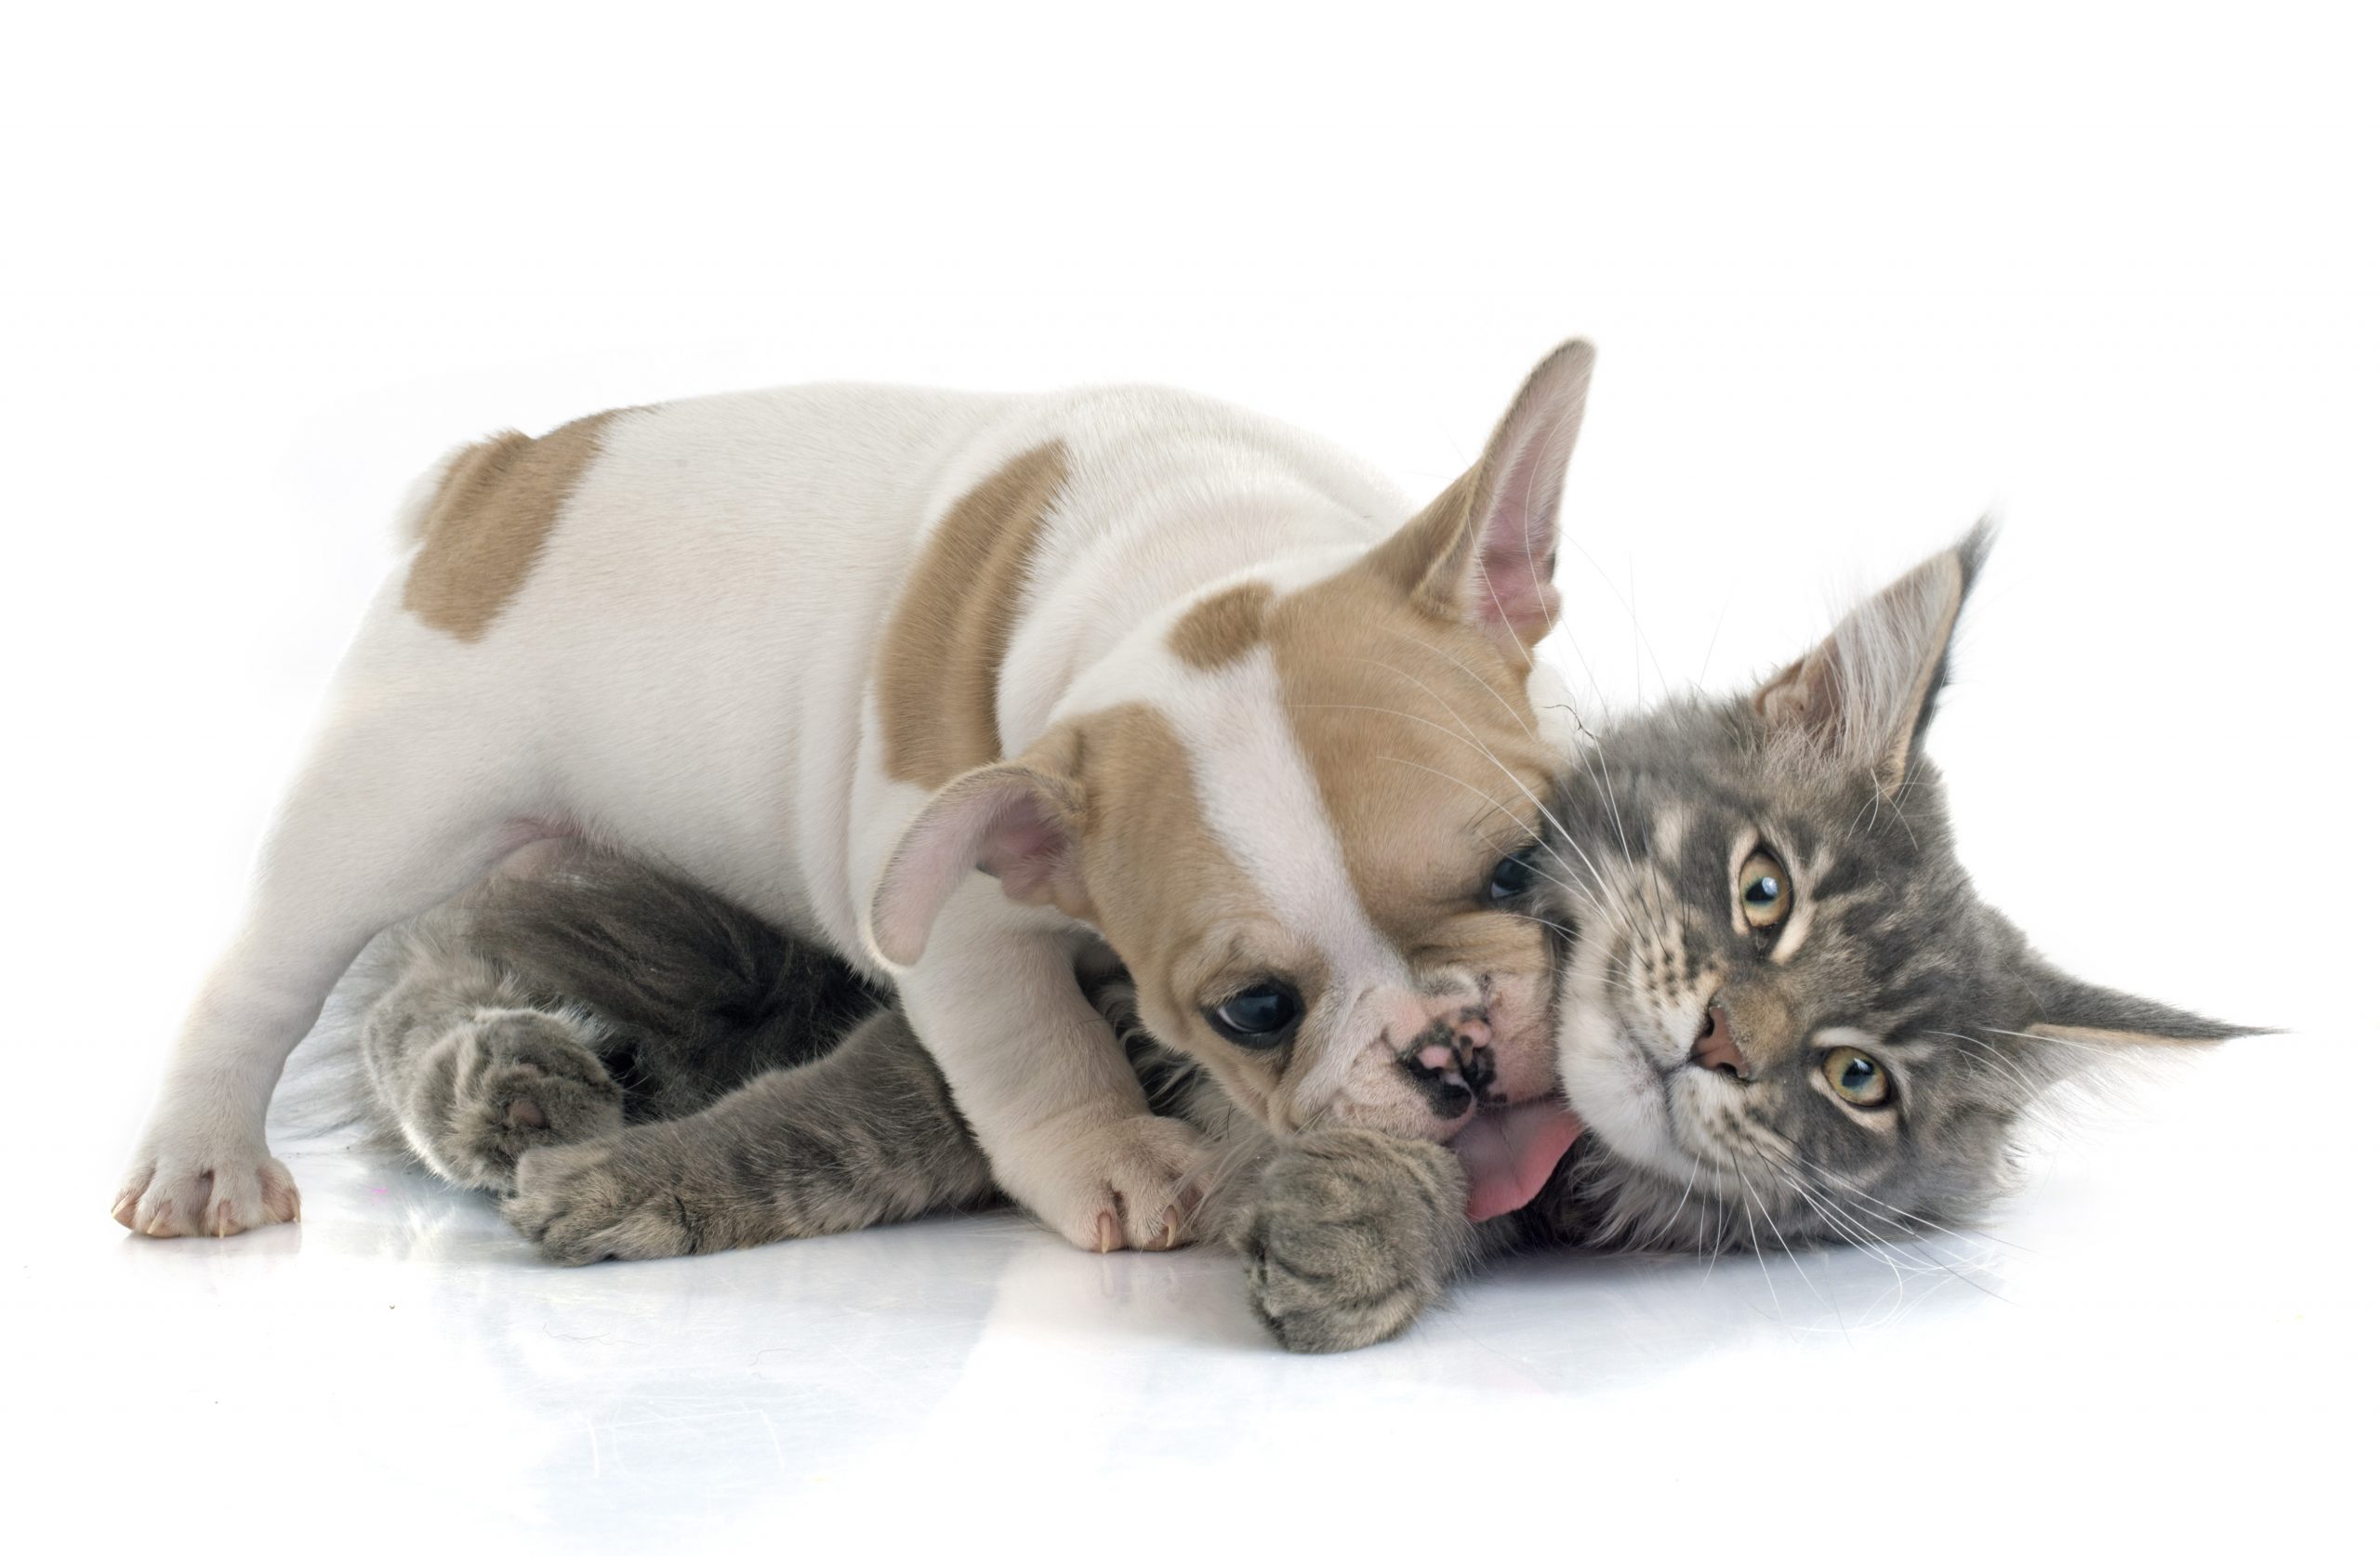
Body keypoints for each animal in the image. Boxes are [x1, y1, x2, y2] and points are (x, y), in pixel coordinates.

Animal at [340, 528, 2246, 1351]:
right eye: (1762, 888)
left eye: (1858, 1080)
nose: (1722, 1039)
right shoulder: (1062, 981)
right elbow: (842, 1122)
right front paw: (639, 1179)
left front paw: (1357, 1231)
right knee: (425, 963)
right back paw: (511, 1087)